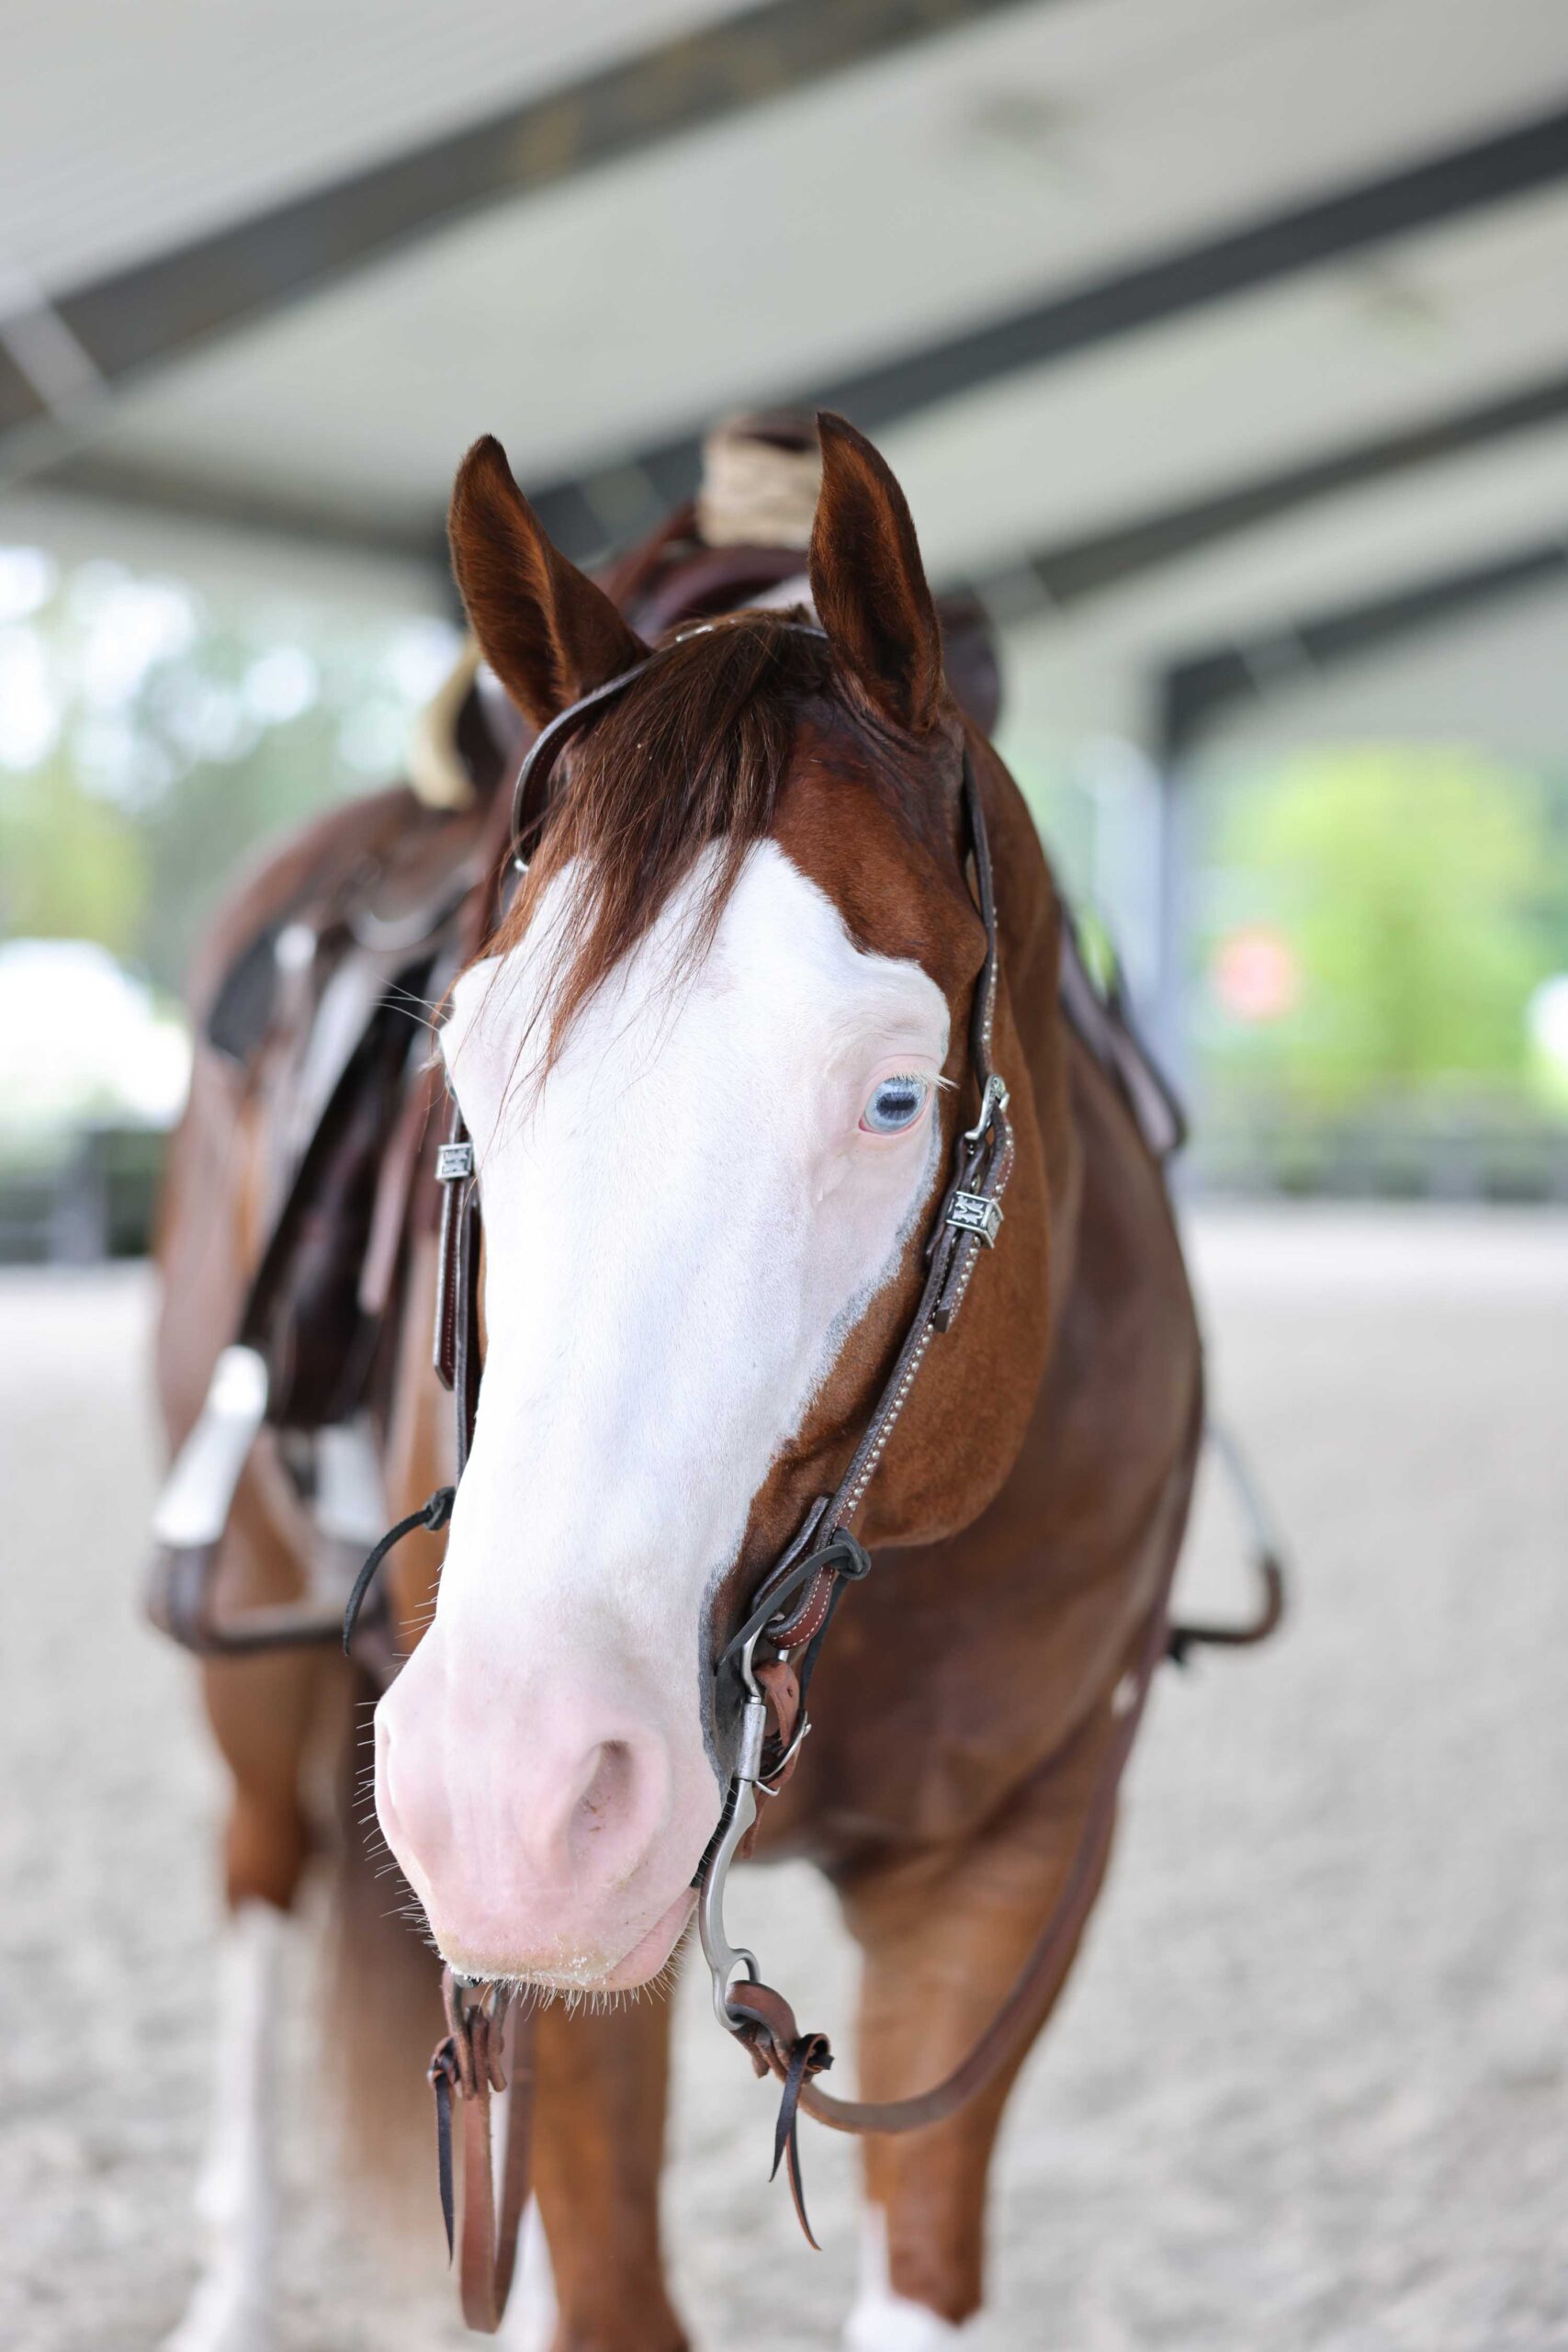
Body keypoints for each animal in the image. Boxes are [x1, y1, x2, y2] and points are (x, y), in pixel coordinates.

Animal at [152, 413, 1203, 2342]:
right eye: (463, 1071)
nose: (501, 1785)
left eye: (893, 1095)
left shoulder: (1008, 1878)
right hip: (256, 1643)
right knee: (260, 1890)